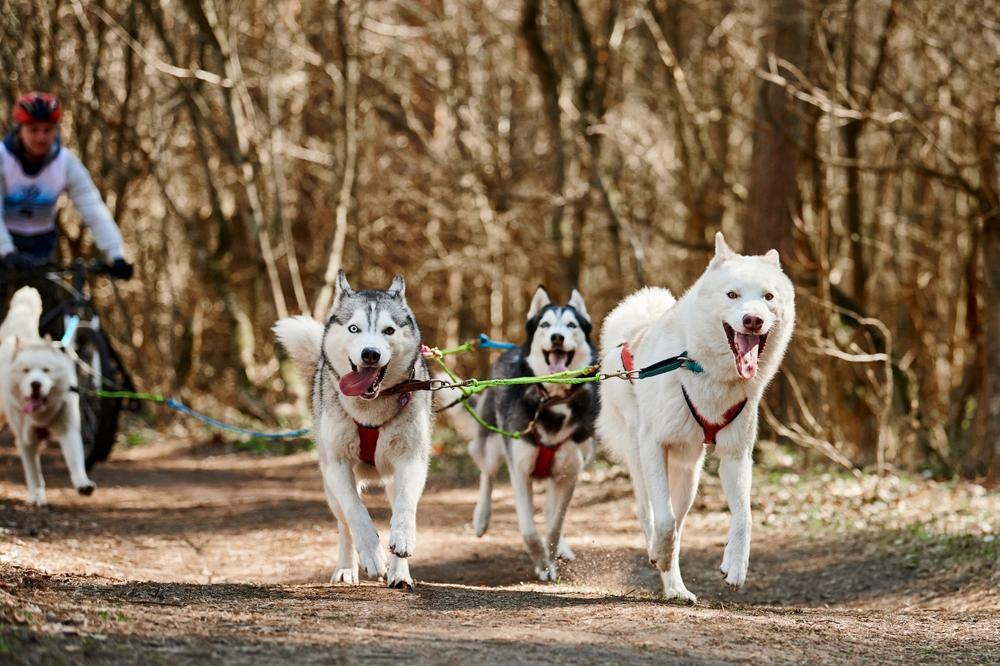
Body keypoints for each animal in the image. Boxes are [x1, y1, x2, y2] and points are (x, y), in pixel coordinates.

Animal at [0, 286, 94, 504]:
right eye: (26, 371)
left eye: (46, 370)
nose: (36, 384)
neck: (41, 415)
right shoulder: (26, 439)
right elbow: (32, 471)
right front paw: (35, 494)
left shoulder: (68, 428)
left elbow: (75, 459)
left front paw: (82, 483)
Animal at [272, 272, 432, 588]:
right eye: (354, 328)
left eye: (388, 330)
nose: (370, 354)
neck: (370, 411)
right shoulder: (337, 465)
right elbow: (356, 512)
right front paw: (371, 552)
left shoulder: (412, 459)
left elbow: (406, 506)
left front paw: (402, 539)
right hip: (330, 487)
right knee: (344, 524)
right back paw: (347, 568)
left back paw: (399, 573)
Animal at [592, 235, 796, 600]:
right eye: (732, 295)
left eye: (768, 297)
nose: (753, 320)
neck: (704, 370)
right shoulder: (654, 445)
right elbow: (664, 521)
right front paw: (658, 552)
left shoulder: (736, 455)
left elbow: (744, 517)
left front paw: (736, 566)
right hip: (639, 457)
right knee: (651, 513)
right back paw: (660, 558)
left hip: (689, 476)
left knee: (679, 518)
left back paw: (676, 589)